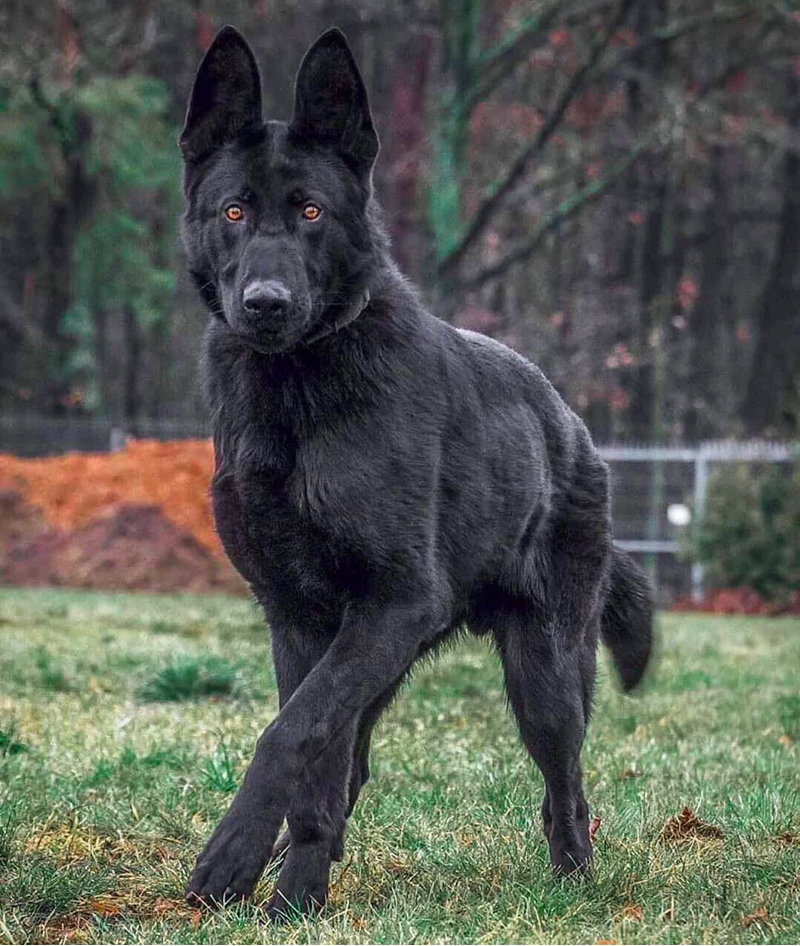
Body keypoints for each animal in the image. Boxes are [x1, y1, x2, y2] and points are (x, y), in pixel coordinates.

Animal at [180, 27, 648, 916]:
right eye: (234, 212)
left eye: (311, 212)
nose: (264, 303)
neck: (298, 386)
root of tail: (569, 424)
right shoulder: (302, 621)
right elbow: (314, 752)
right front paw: (296, 895)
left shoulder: (392, 603)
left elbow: (289, 734)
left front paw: (237, 861)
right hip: (383, 657)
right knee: (352, 761)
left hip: (542, 673)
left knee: (565, 782)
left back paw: (575, 878)